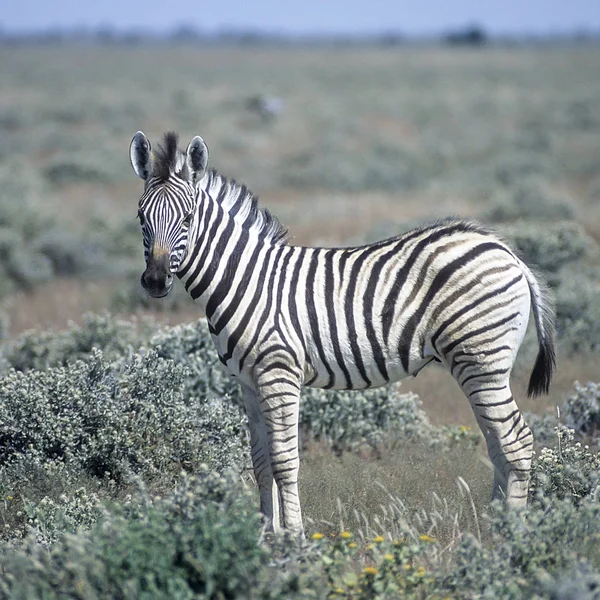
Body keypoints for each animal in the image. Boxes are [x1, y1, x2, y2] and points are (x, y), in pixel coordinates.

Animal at [131, 130, 556, 536]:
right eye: (141, 218)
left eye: (187, 219)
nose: (154, 281)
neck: (245, 279)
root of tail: (506, 251)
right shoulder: (248, 382)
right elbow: (261, 461)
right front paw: (267, 536)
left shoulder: (279, 373)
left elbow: (284, 461)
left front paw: (295, 538)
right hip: (480, 365)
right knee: (499, 443)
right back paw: (493, 524)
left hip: (481, 360)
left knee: (516, 441)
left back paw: (510, 534)